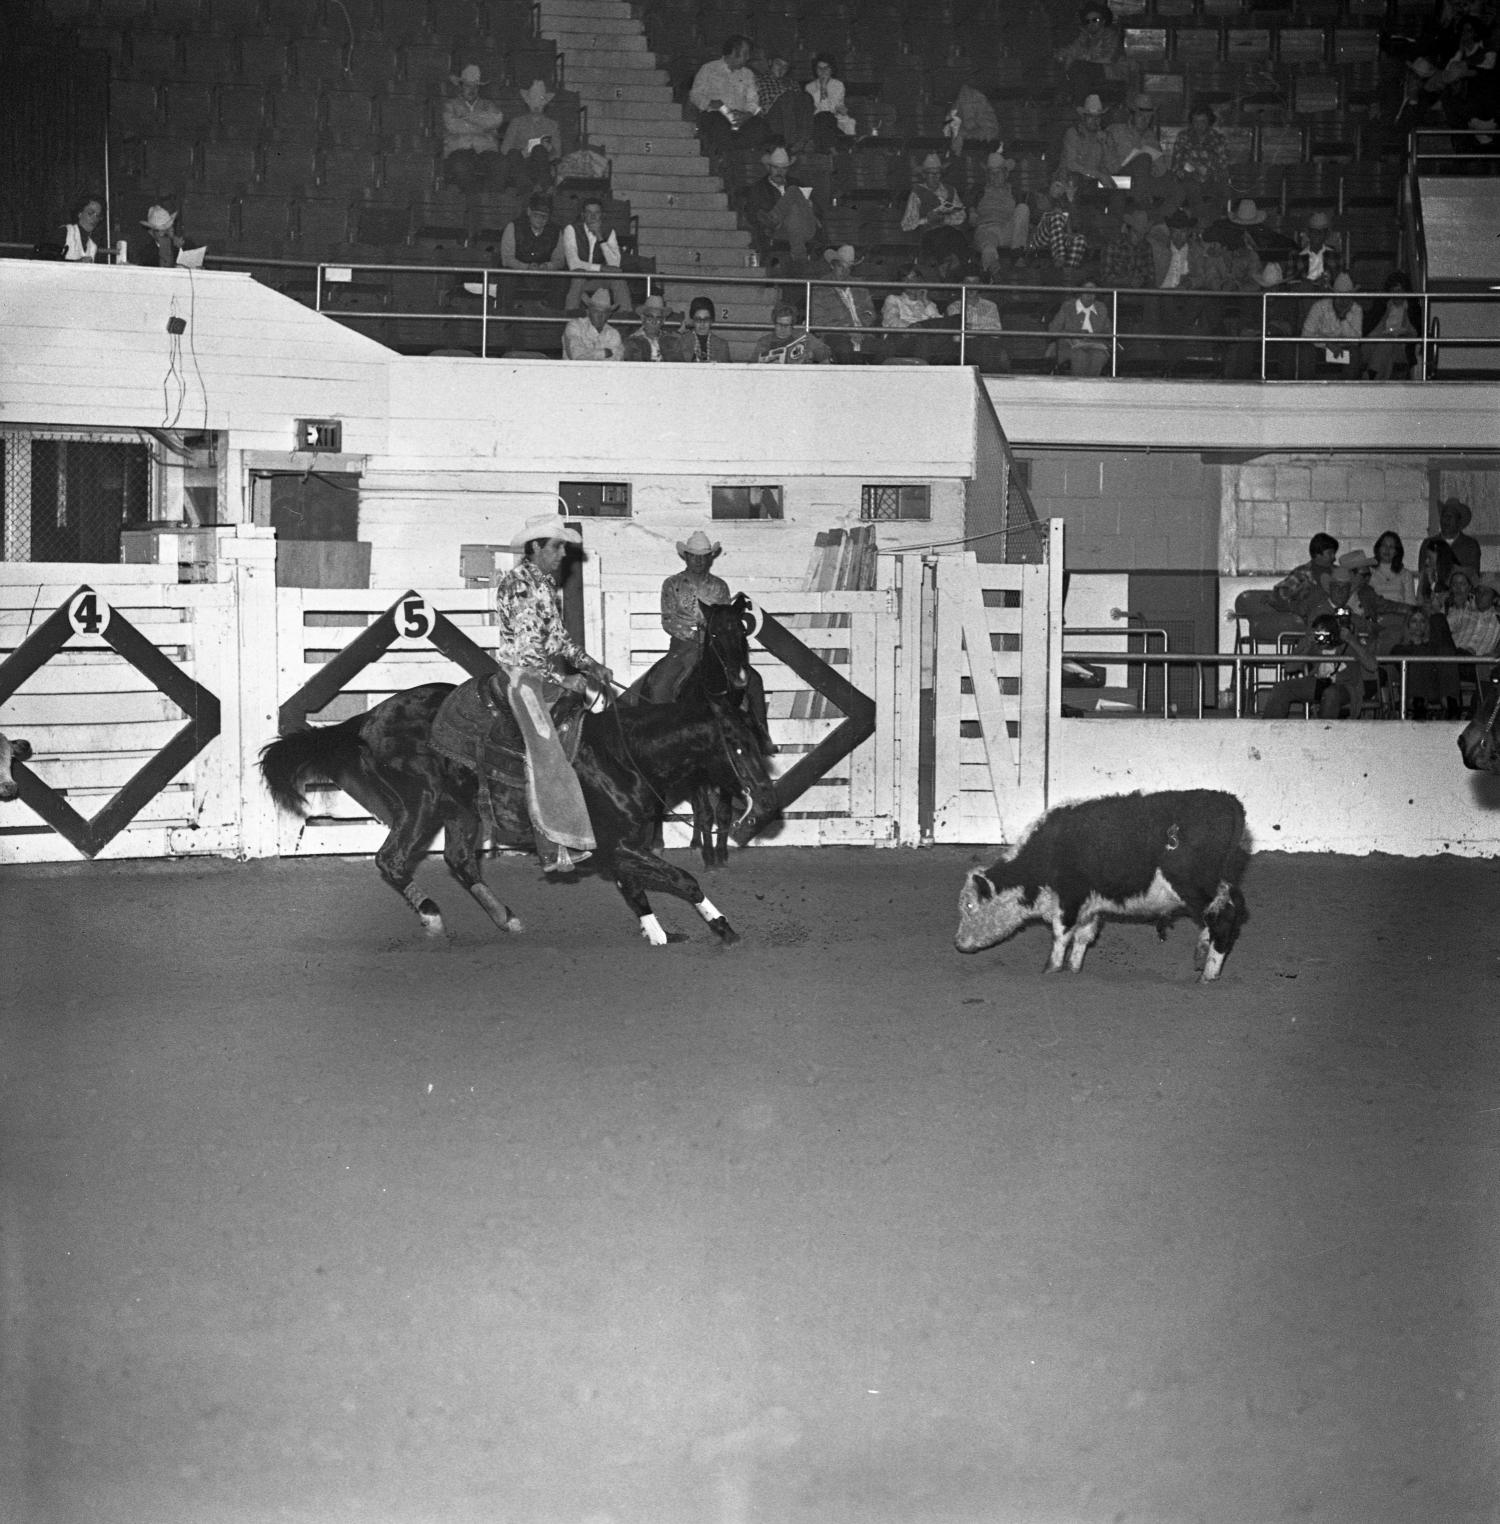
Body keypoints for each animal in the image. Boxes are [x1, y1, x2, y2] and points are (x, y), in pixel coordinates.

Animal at [259, 679, 779, 946]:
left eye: (761, 738)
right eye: (735, 744)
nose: (769, 803)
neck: (622, 755)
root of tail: (366, 719)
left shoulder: (621, 847)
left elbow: (636, 889)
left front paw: (657, 932)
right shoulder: (618, 845)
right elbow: (681, 879)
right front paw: (721, 926)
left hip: (461, 811)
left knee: (461, 862)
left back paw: (505, 917)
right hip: (419, 803)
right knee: (392, 860)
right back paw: (432, 916)